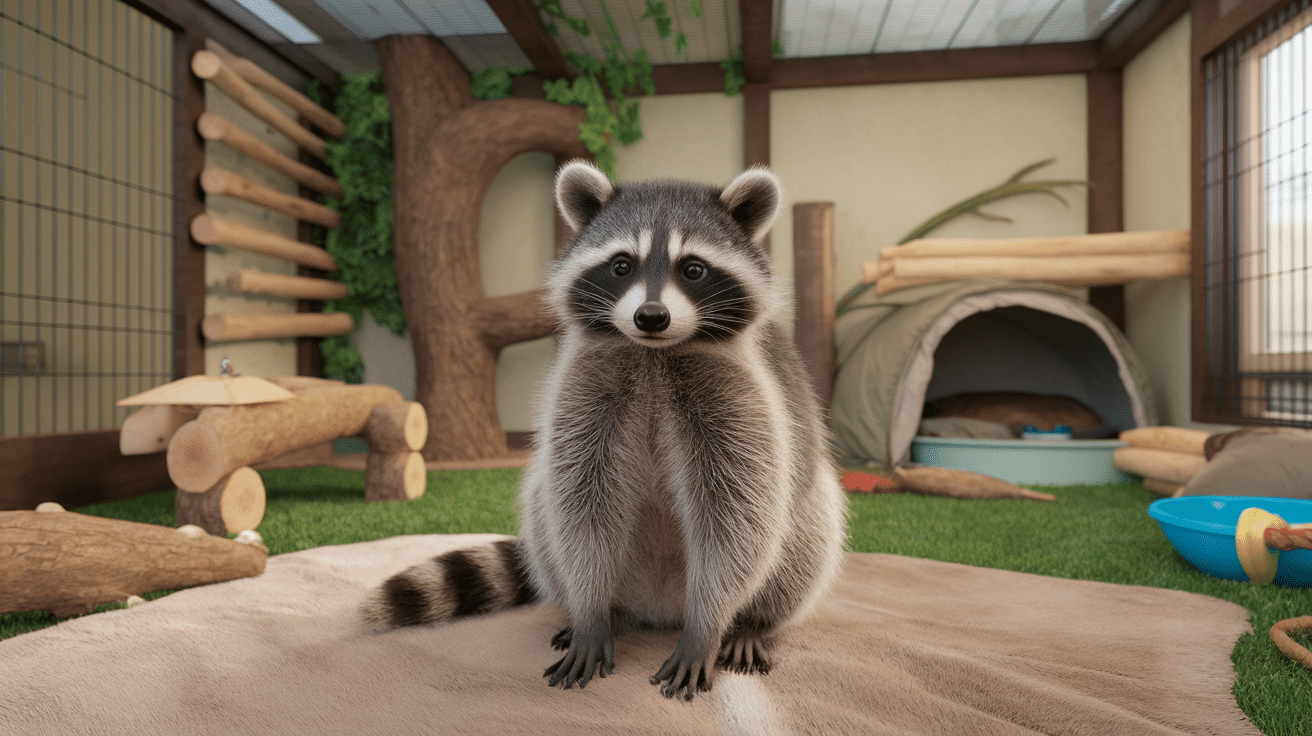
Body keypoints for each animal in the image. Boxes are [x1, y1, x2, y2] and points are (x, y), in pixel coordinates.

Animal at [361, 161, 847, 701]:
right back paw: (602, 611)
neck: (655, 353)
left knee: (807, 520)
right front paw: (591, 612)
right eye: (621, 266)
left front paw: (709, 624)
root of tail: (659, 606)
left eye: (693, 269)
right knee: (544, 501)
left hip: (798, 505)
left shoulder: (741, 398)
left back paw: (753, 622)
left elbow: (738, 514)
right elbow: (581, 502)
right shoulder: (585, 389)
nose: (651, 316)